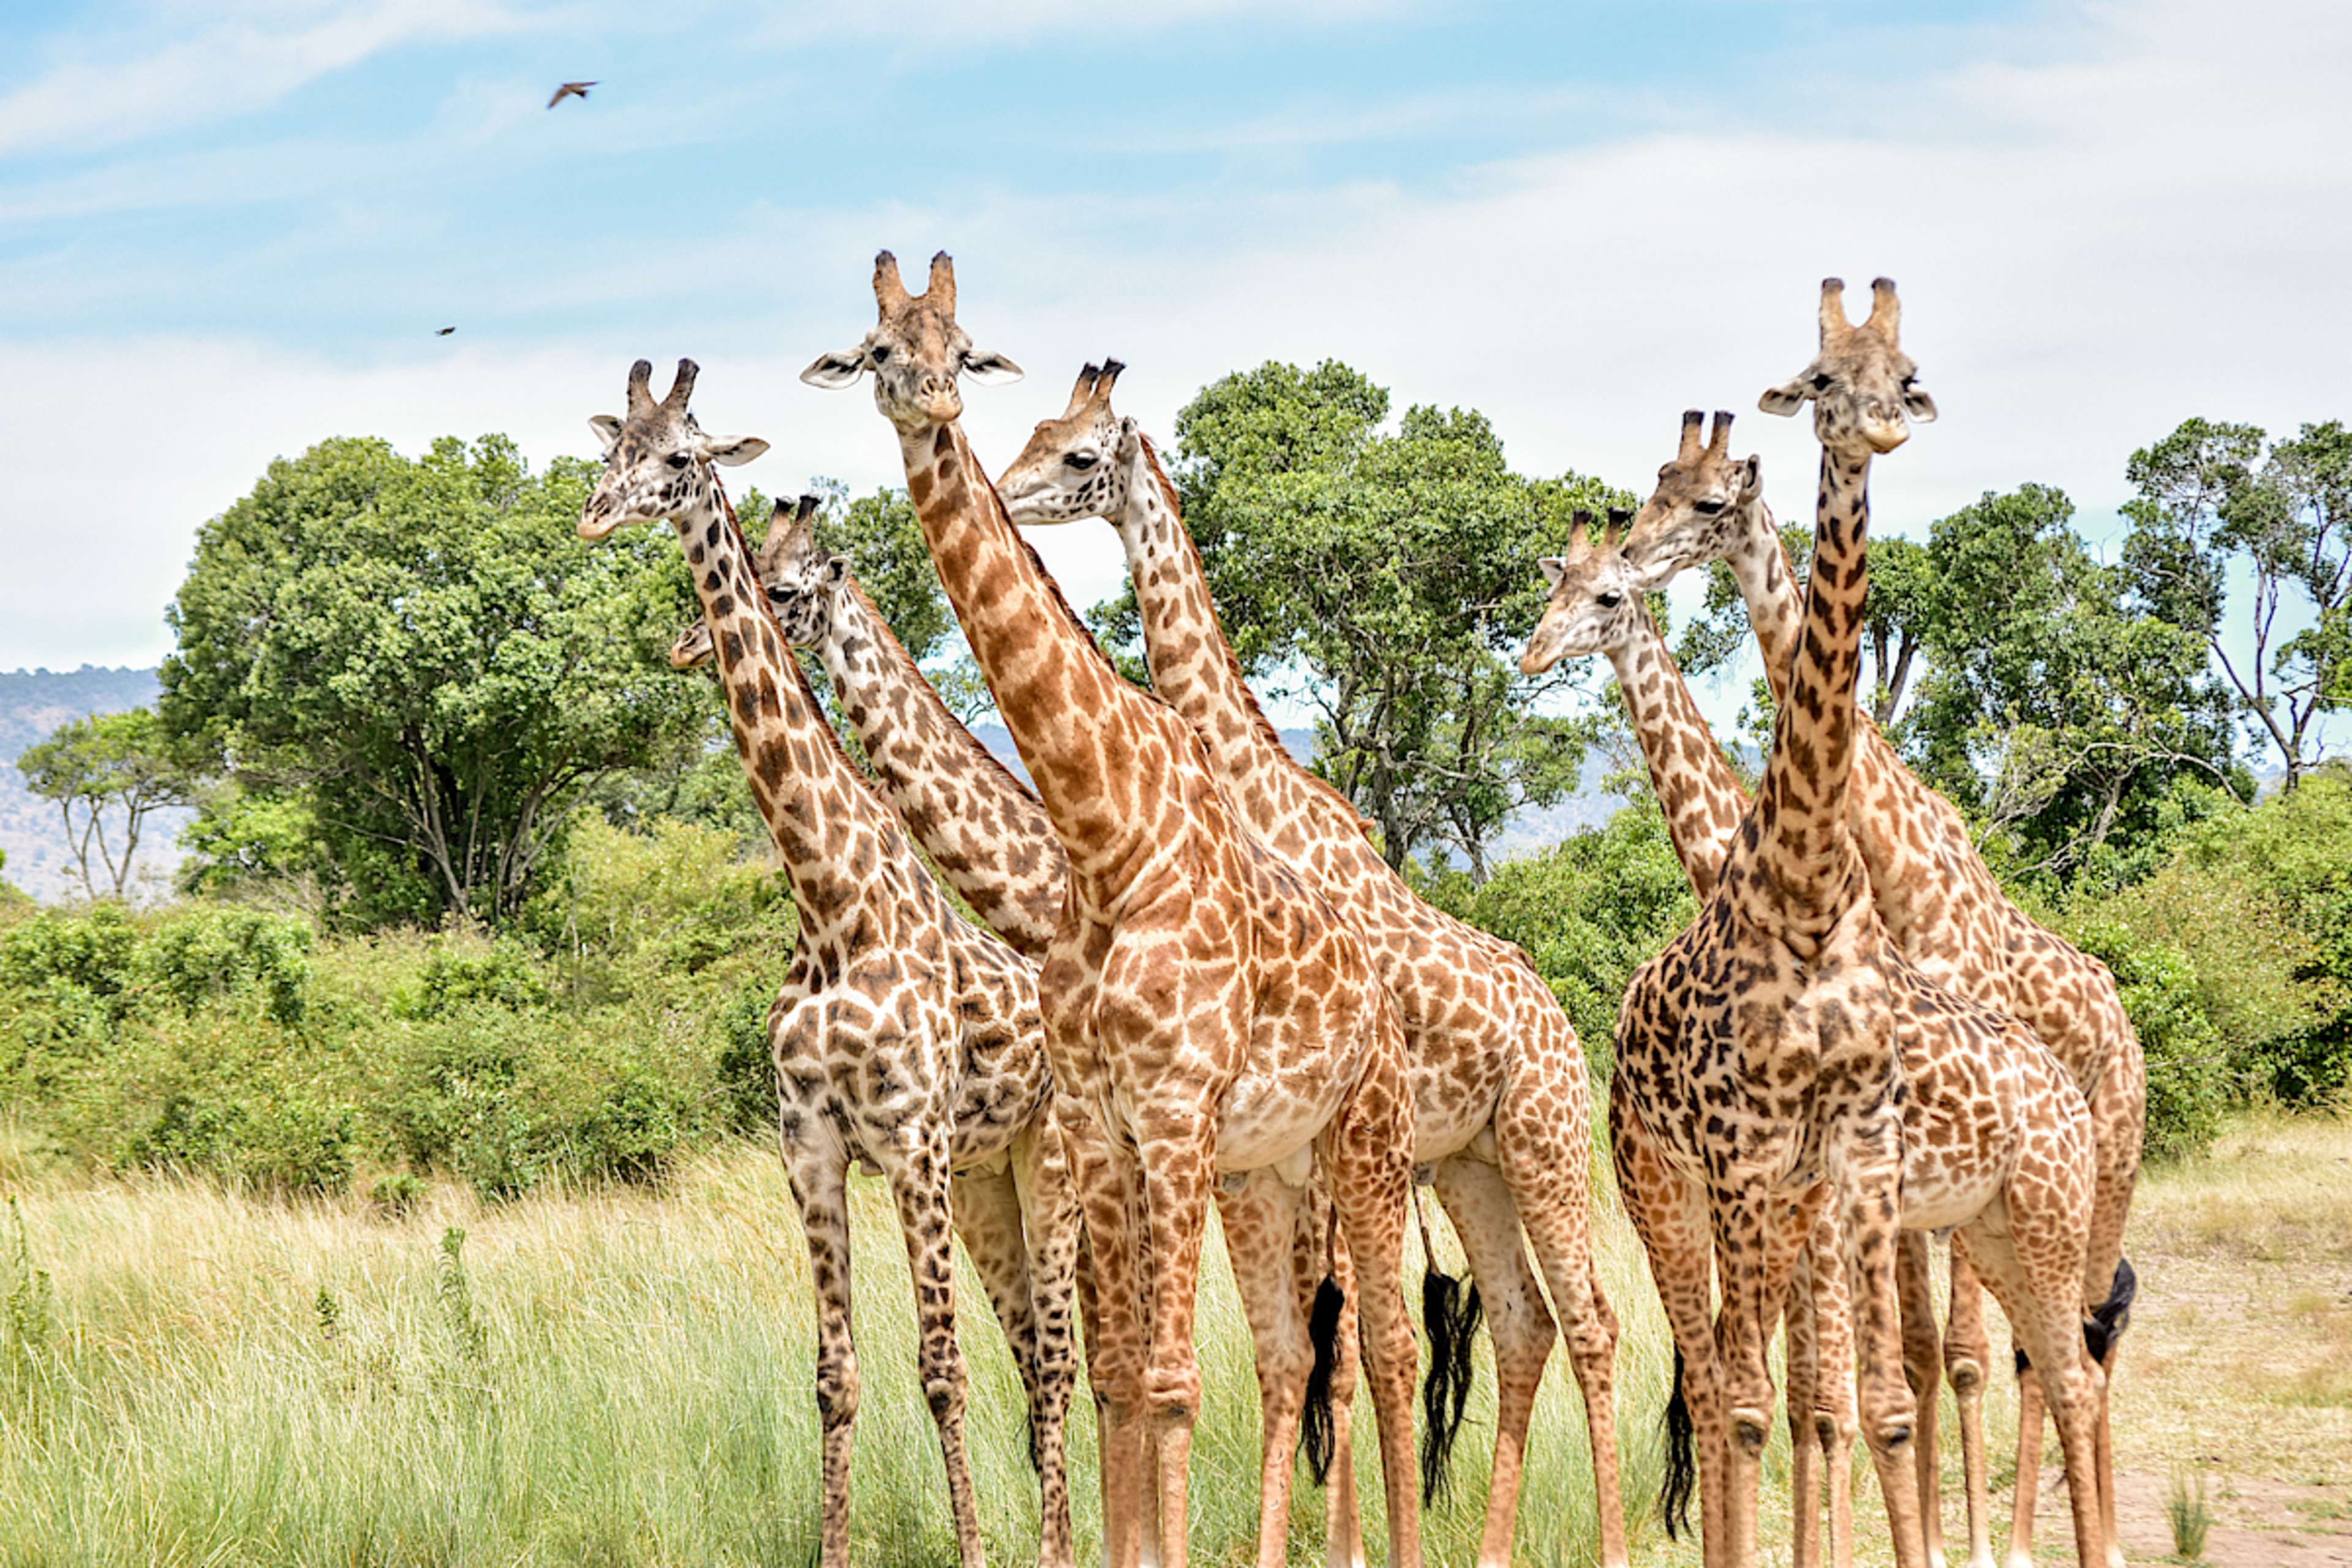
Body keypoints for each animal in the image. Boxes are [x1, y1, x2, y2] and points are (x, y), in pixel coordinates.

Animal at [580, 359, 1082, 1568]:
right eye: (610, 450)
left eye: (679, 456)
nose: (593, 516)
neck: (828, 903)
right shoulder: (807, 1146)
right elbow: (835, 1378)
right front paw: (835, 1550)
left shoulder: (907, 1141)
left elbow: (940, 1372)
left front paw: (974, 1550)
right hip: (986, 1179)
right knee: (1034, 1354)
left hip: (1045, 1161)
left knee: (1057, 1359)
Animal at [803, 251, 1423, 1568]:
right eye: (876, 349)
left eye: (960, 345)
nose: (934, 403)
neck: (1102, 833)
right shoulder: (1103, 1127)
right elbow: (1128, 1376)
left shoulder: (1175, 1115)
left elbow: (1176, 1381)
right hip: (1273, 1167)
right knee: (1304, 1352)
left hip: (1368, 1139)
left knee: (1389, 1348)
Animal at [994, 361, 1630, 1568]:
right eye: (1036, 431)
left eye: (1077, 454)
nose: (1005, 496)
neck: (1259, 801)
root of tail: (1568, 1025)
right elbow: (1319, 1349)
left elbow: (1347, 1347)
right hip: (1472, 1166)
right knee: (1524, 1325)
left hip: (1547, 1146)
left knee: (1592, 1322)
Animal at [1587, 277, 2111, 1568]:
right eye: (1820, 376)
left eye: (1905, 368)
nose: (1630, 559)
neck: (1816, 886)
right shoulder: (1757, 1164)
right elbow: (1791, 1399)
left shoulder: (1860, 1164)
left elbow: (1889, 1390)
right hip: (1673, 1189)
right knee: (1726, 1376)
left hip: (2059, 1195)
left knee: (2058, 1358)